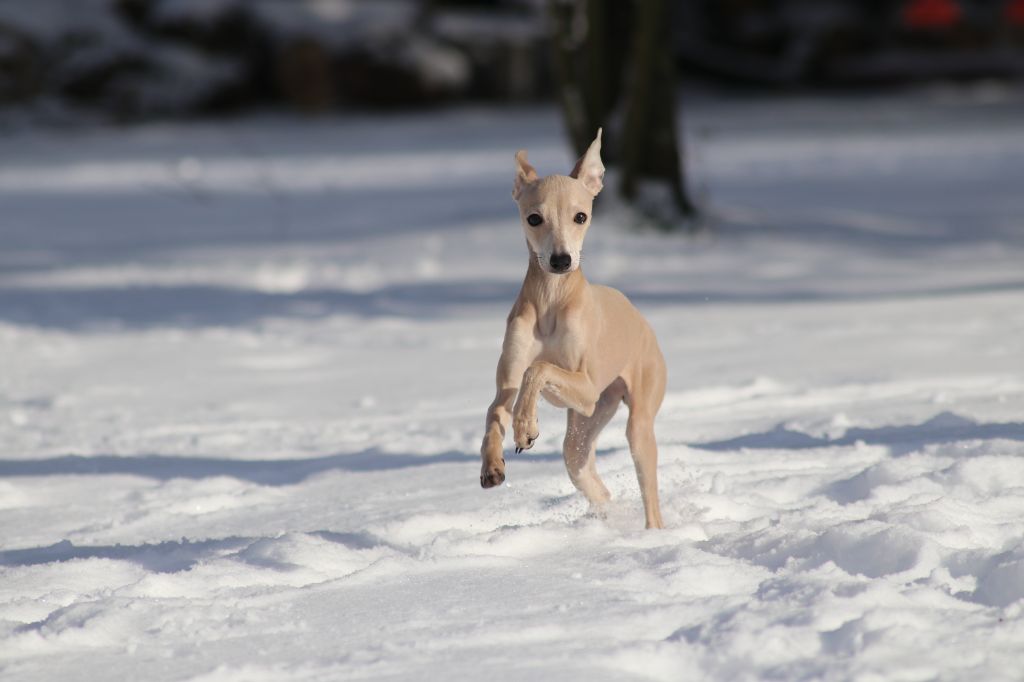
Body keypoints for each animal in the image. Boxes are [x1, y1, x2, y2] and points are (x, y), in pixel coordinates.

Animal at [481, 130, 671, 528]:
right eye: (534, 218)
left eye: (580, 216)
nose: (561, 260)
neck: (552, 301)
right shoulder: (509, 381)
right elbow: (496, 409)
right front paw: (492, 465)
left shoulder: (585, 387)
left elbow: (538, 369)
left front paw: (525, 425)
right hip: (590, 419)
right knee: (581, 464)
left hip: (632, 417)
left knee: (649, 492)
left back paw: (654, 533)